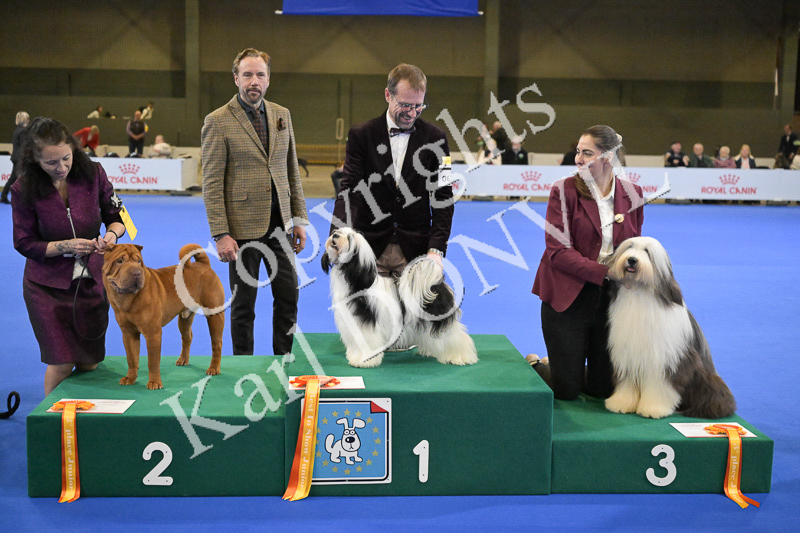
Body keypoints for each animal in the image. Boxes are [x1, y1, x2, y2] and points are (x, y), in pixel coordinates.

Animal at [102, 243, 226, 390]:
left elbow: (153, 360)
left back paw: (213, 368)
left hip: (214, 315)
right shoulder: (128, 333)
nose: (137, 273)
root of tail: (204, 265)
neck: (127, 299)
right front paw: (130, 378)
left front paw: (154, 382)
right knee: (187, 337)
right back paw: (183, 359)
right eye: (119, 261)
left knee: (216, 343)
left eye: (139, 261)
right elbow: (131, 358)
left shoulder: (152, 333)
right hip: (184, 318)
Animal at [321, 227, 478, 368]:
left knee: (456, 336)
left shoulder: (367, 325)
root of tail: (436, 284)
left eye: (350, 238)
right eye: (338, 231)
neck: (356, 282)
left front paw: (365, 361)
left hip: (439, 319)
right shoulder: (352, 323)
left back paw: (461, 357)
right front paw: (355, 357)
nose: (334, 235)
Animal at [602, 236, 736, 419]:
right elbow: (627, 383)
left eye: (647, 252)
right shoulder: (628, 354)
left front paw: (653, 408)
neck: (639, 293)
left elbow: (659, 386)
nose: (632, 260)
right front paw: (621, 403)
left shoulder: (664, 358)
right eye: (629, 247)